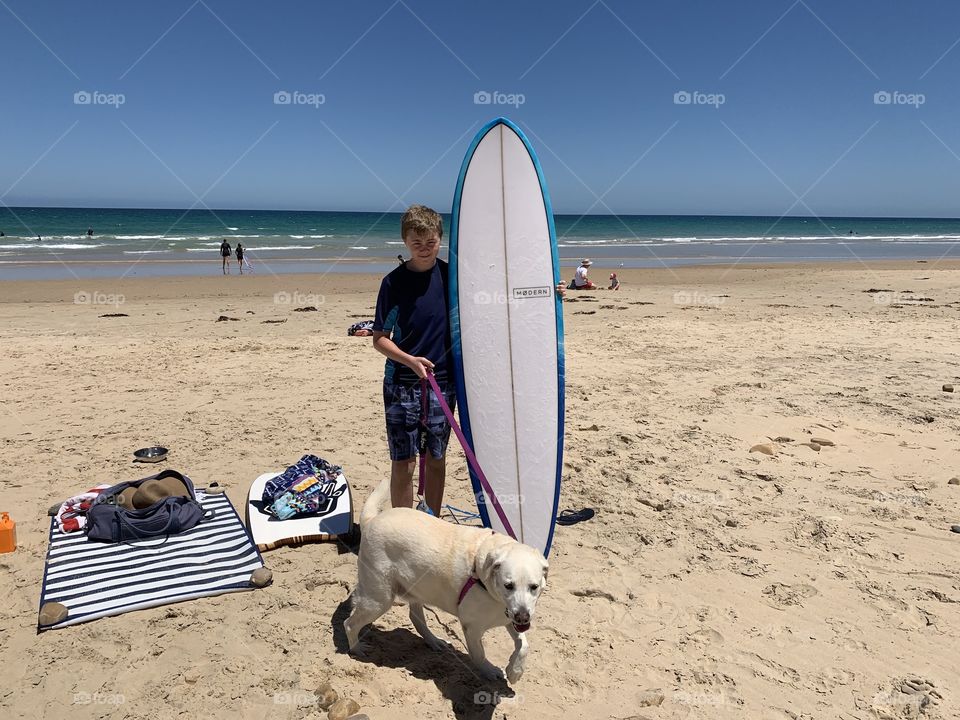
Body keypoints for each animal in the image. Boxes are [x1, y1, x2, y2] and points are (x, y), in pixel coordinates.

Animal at [344, 480, 548, 684]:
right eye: (508, 586)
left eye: (534, 587)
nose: (523, 617)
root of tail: (371, 520)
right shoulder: (472, 627)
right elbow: (479, 655)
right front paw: (490, 671)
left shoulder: (509, 618)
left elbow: (523, 644)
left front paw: (515, 671)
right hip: (379, 599)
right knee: (349, 623)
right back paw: (357, 649)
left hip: (417, 588)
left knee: (416, 619)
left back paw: (434, 641)